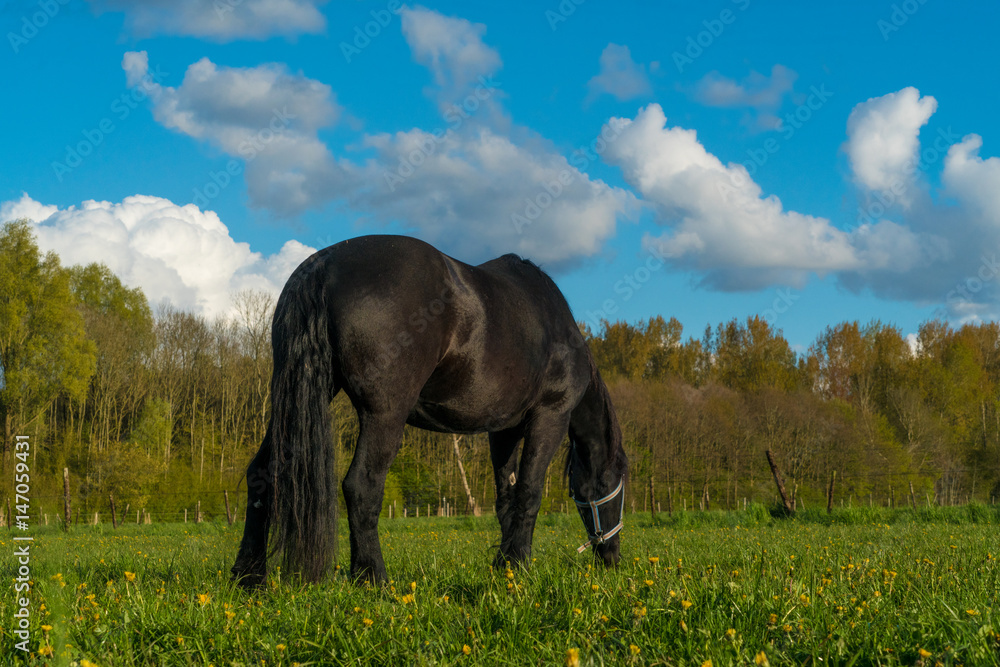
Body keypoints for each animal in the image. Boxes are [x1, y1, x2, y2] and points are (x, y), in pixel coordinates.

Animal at [231, 235, 628, 586]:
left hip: (295, 402)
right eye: (613, 482)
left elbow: (507, 497)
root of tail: (324, 265)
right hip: (385, 415)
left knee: (262, 473)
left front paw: (503, 564)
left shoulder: (503, 431)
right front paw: (518, 564)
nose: (612, 557)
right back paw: (373, 579)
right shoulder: (551, 415)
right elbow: (530, 492)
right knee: (362, 486)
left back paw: (249, 577)